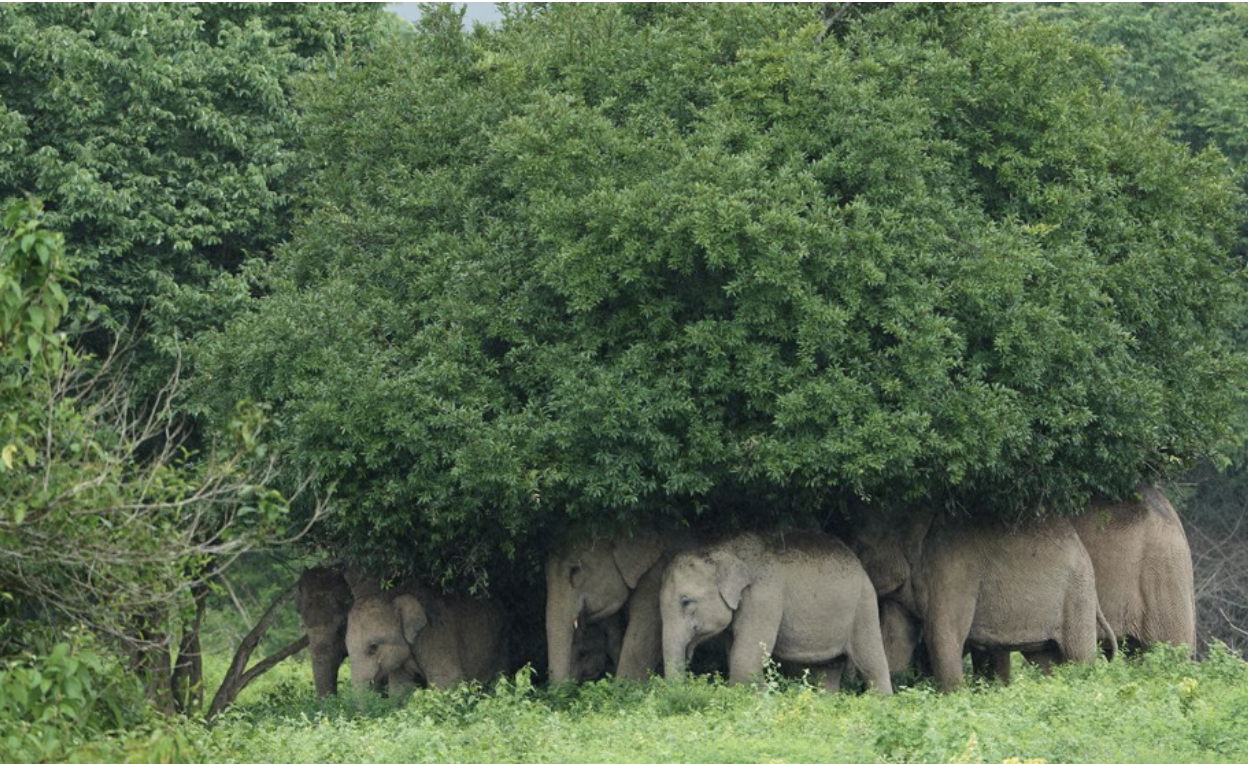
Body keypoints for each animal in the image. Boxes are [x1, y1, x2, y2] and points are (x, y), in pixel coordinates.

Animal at [660, 531, 892, 695]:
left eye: (686, 601)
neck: (722, 549)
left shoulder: (763, 597)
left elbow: (745, 658)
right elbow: (734, 651)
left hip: (863, 605)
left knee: (871, 662)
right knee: (829, 668)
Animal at [854, 511, 1114, 691]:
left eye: (859, 547)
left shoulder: (952, 571)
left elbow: (941, 635)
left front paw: (953, 697)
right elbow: (895, 639)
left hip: (1077, 594)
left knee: (1078, 655)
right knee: (1045, 658)